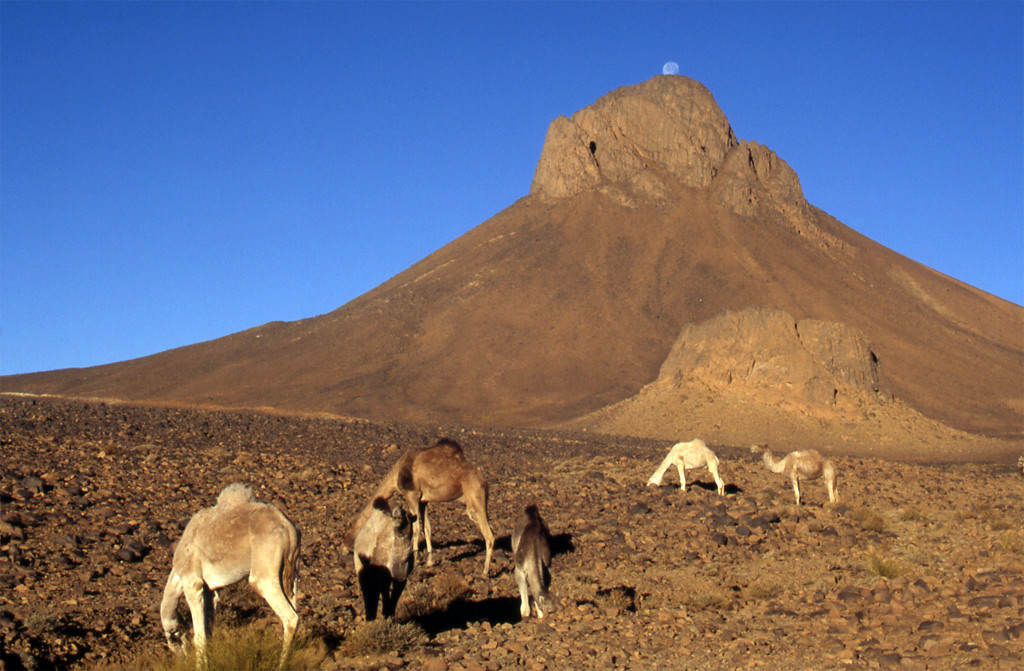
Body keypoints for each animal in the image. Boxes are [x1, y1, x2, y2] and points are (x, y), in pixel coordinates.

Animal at [157, 485, 299, 667]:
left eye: (173, 639)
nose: (182, 658)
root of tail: (286, 528)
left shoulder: (192, 583)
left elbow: (200, 636)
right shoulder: (211, 591)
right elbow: (209, 631)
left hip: (264, 574)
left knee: (290, 617)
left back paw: (280, 665)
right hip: (292, 571)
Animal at [344, 440, 495, 577]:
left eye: (348, 526)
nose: (343, 548)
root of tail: (485, 482)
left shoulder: (411, 495)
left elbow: (415, 529)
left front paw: (415, 561)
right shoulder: (423, 501)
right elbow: (426, 529)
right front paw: (429, 562)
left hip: (476, 501)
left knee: (489, 536)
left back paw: (485, 572)